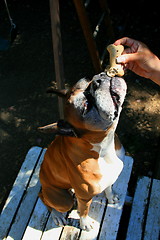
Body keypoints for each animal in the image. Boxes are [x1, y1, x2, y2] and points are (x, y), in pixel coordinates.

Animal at [38, 72, 126, 231]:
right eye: (86, 105)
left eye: (86, 80)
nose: (98, 80)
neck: (103, 147)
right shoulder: (84, 197)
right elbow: (84, 210)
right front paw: (85, 224)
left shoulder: (109, 177)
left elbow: (108, 188)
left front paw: (111, 197)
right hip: (62, 200)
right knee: (44, 198)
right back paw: (56, 215)